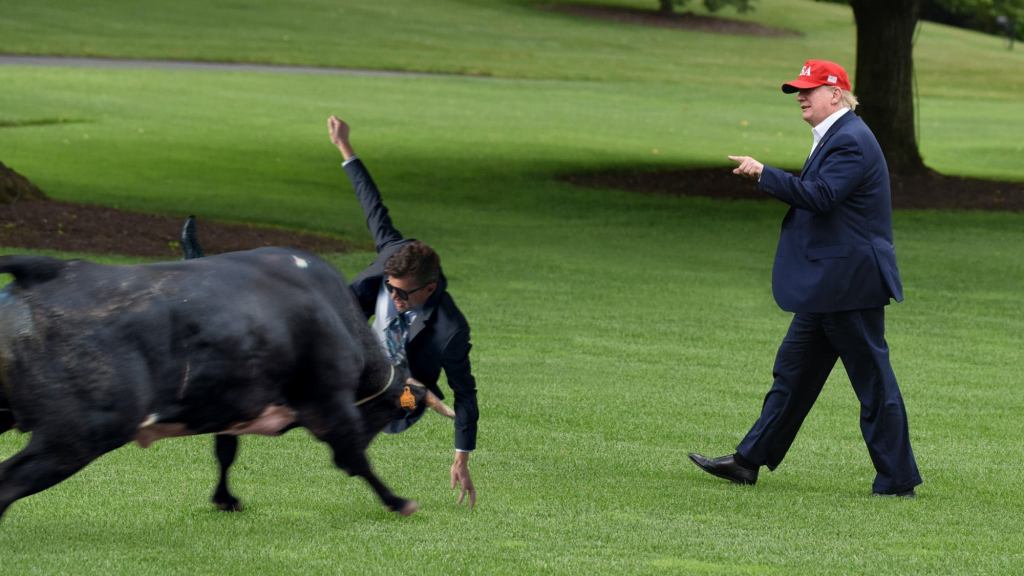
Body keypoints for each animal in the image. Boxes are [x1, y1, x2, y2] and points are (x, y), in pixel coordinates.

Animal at [0, 247, 452, 520]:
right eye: (390, 412)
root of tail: (52, 270)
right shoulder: (328, 400)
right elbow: (356, 457)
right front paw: (398, 501)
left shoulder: (232, 402)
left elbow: (225, 452)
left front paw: (225, 498)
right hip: (79, 433)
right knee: (8, 482)